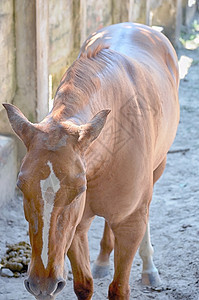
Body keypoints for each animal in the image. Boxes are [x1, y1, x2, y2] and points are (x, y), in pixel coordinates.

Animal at [3, 22, 180, 298]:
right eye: (21, 187)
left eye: (79, 190)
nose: (42, 284)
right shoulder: (77, 226)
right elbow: (84, 285)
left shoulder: (130, 225)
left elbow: (119, 289)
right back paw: (103, 260)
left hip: (157, 170)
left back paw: (149, 267)